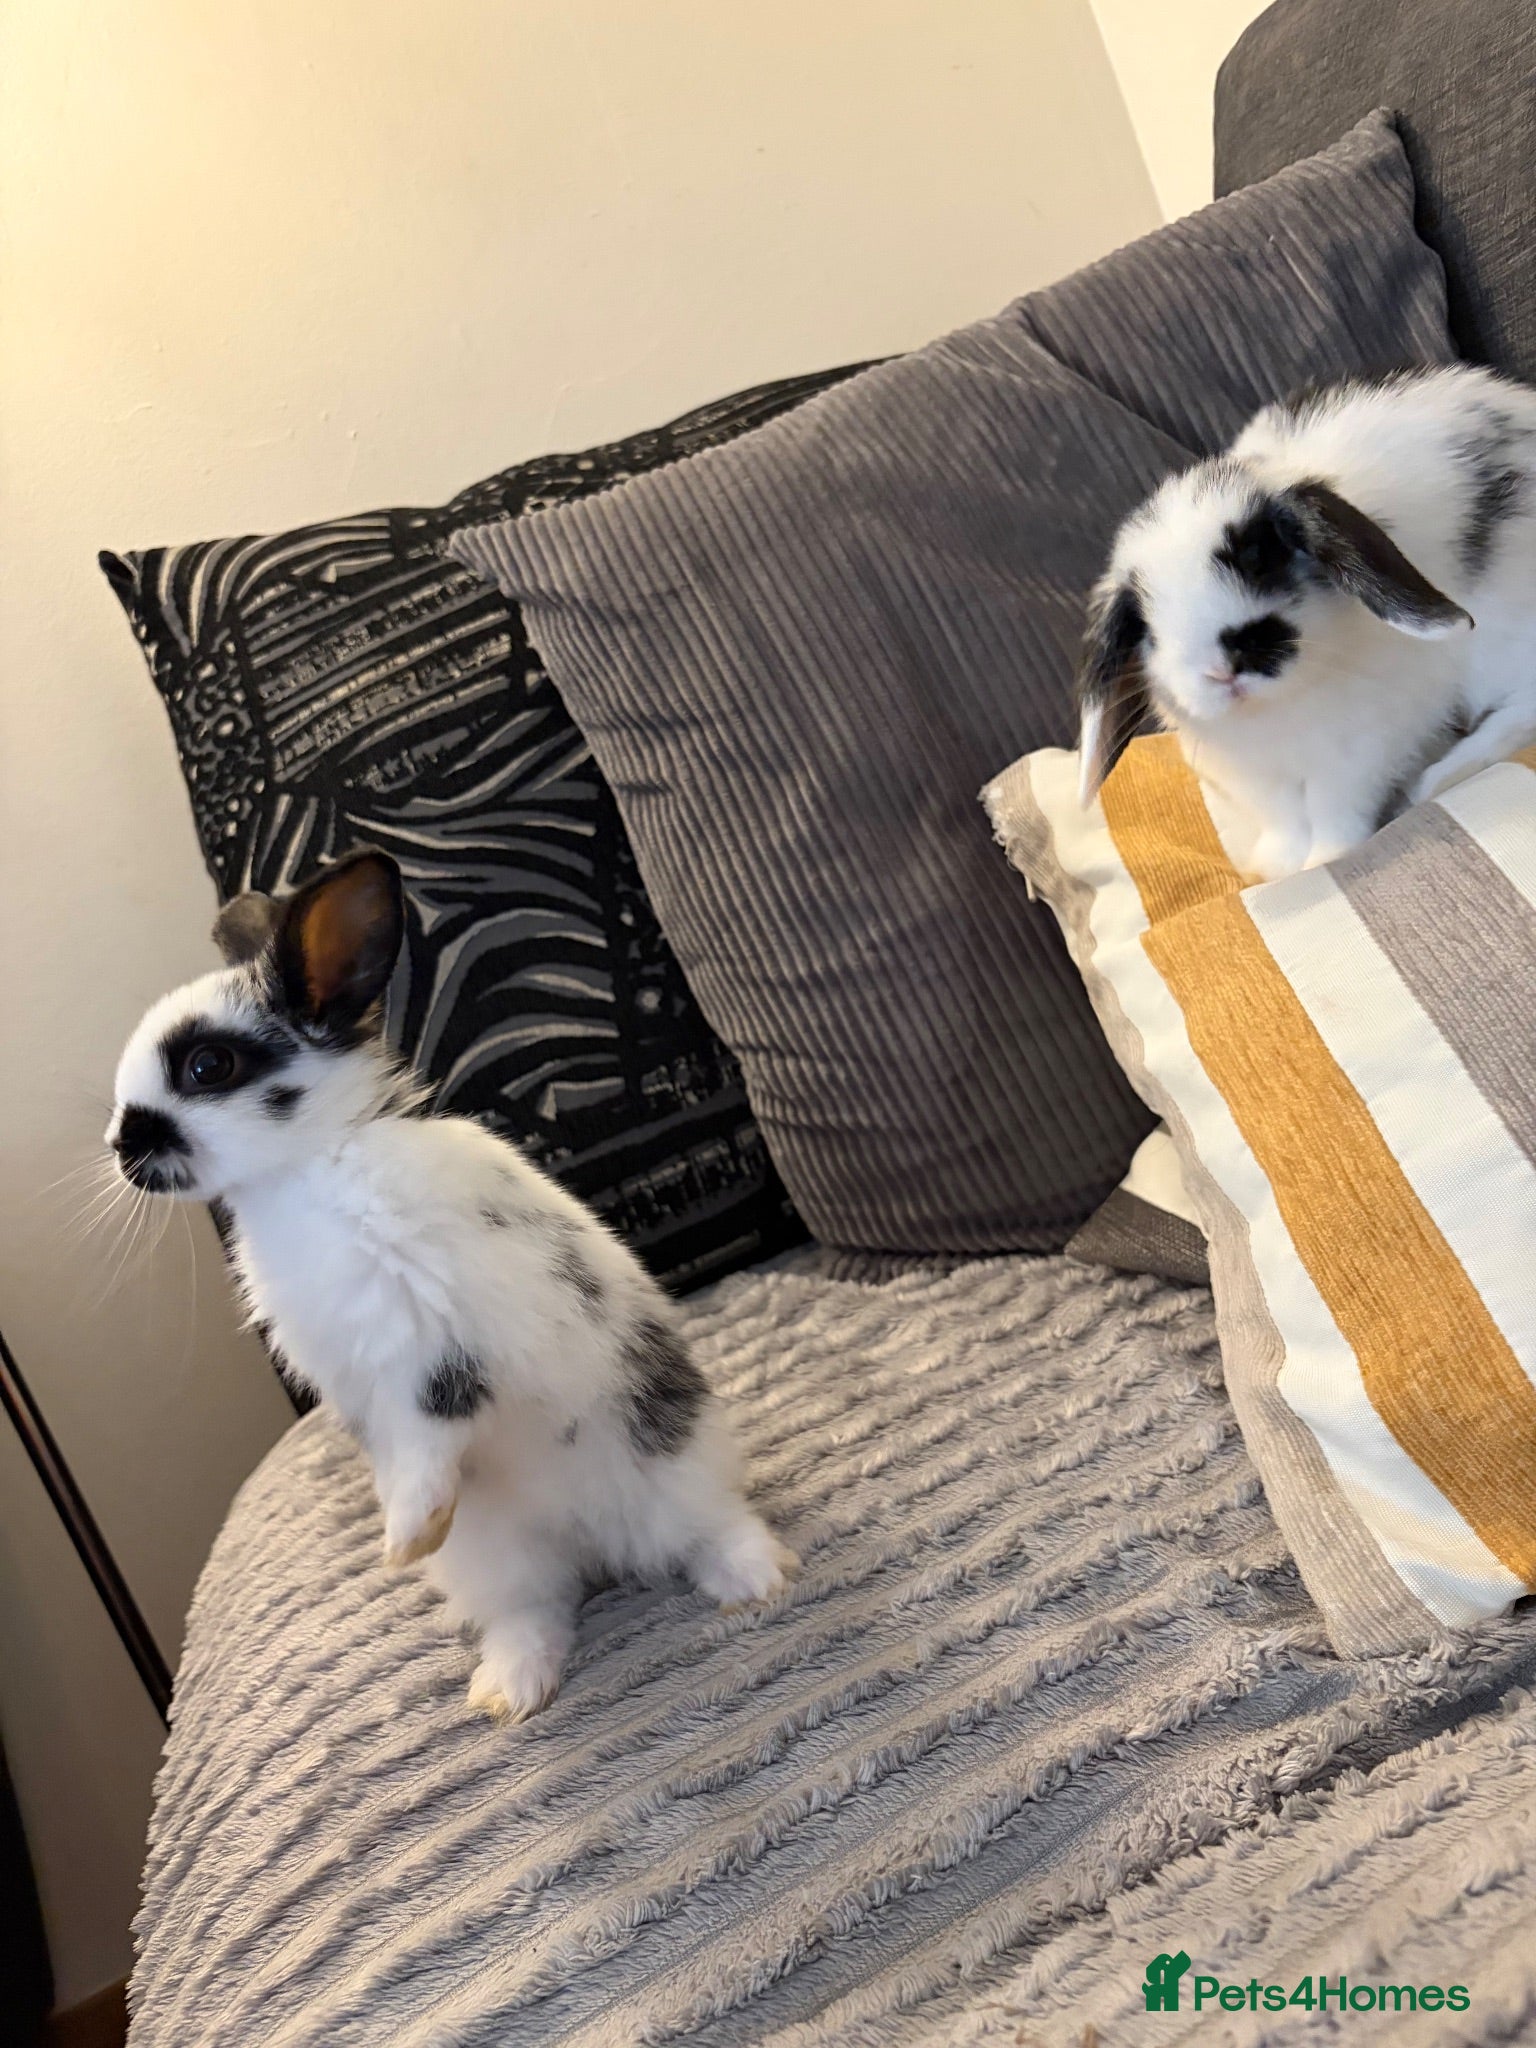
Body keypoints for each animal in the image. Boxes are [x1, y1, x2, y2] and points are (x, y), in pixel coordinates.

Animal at [106, 849, 795, 1723]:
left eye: (207, 1066)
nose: (120, 1147)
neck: (311, 1166)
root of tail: (593, 1542)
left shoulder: (437, 1343)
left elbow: (432, 1433)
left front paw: (404, 1535)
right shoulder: (364, 1378)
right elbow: (407, 1449)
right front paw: (409, 1541)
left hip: (674, 1463)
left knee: (707, 1528)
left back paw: (758, 1578)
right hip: (494, 1556)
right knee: (536, 1608)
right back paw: (509, 1690)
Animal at [1076, 364, 1536, 879]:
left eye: (1259, 557)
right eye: (1145, 624)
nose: (1224, 666)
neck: (1278, 709)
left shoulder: (1358, 749)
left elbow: (1335, 809)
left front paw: (1326, 859)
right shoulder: (1262, 781)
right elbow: (1286, 820)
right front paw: (1279, 866)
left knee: (1522, 708)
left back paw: (1436, 778)